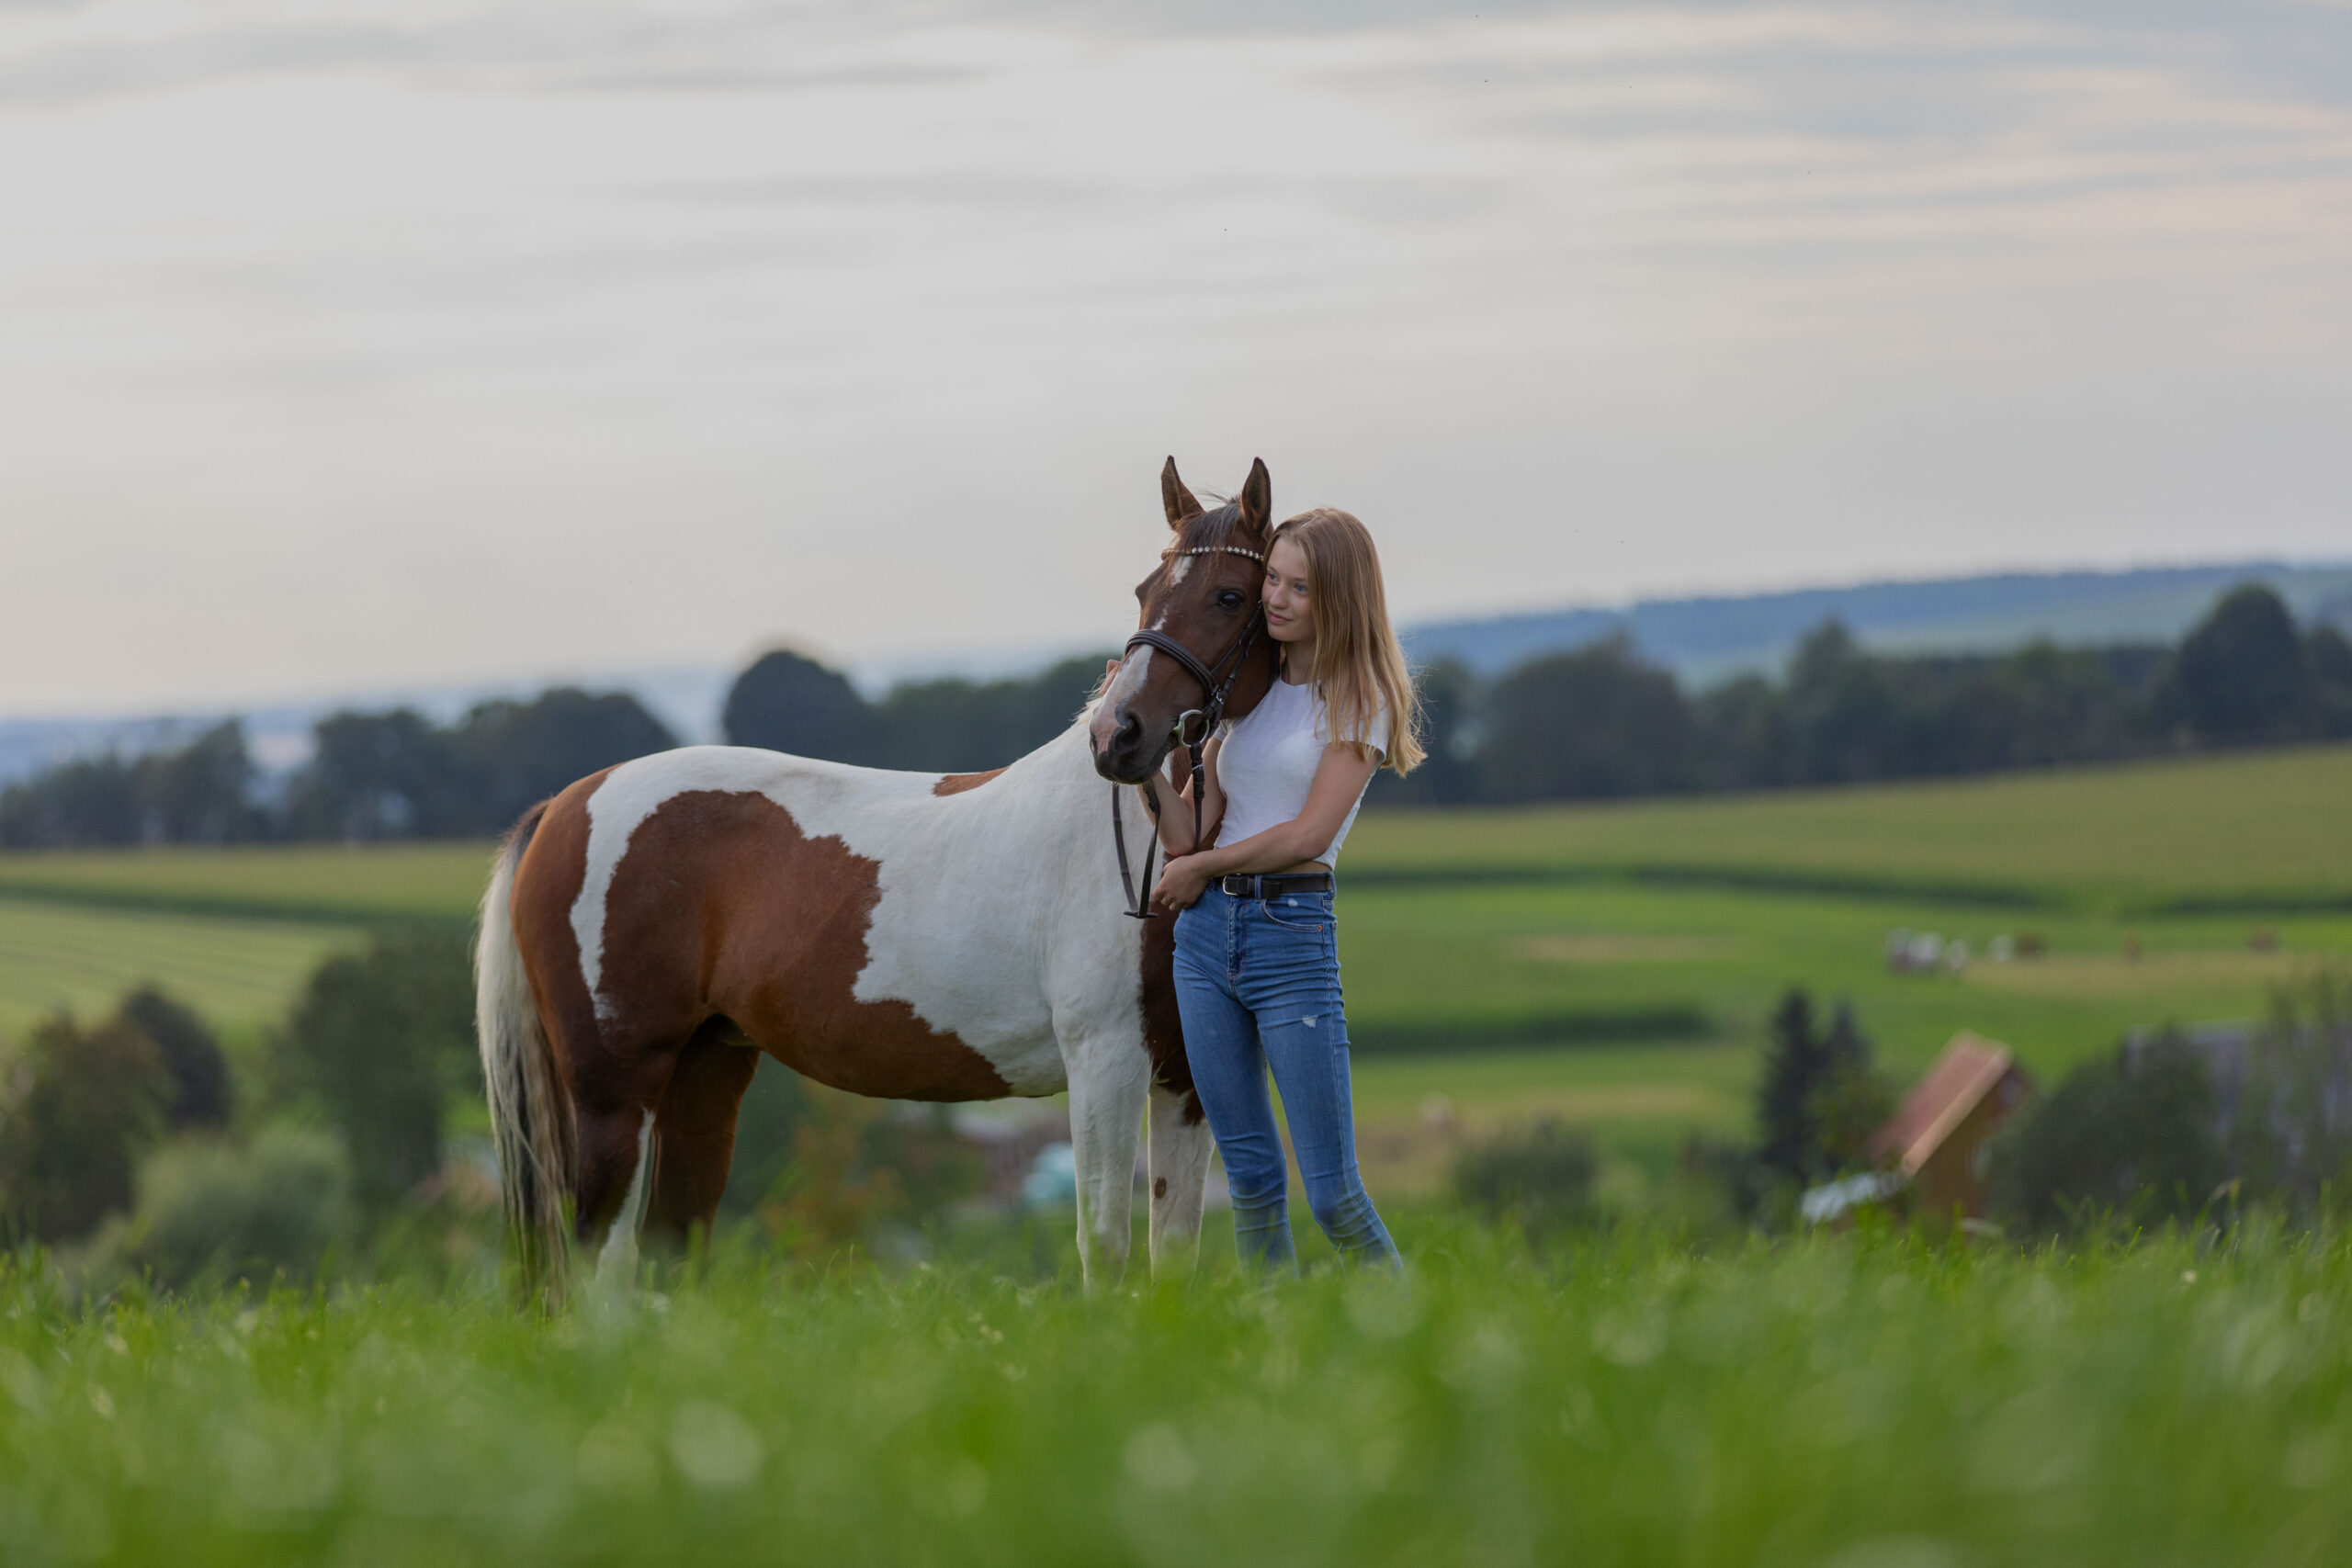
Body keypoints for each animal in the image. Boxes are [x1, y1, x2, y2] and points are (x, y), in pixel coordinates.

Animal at [475, 453, 1279, 1297]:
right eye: (1145, 590)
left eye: (1230, 595)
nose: (1119, 736)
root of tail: (566, 804)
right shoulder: (1105, 1060)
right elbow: (1106, 1247)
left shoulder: (1184, 1079)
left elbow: (1173, 1254)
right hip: (615, 1093)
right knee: (599, 1264)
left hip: (705, 1074)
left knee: (670, 1245)